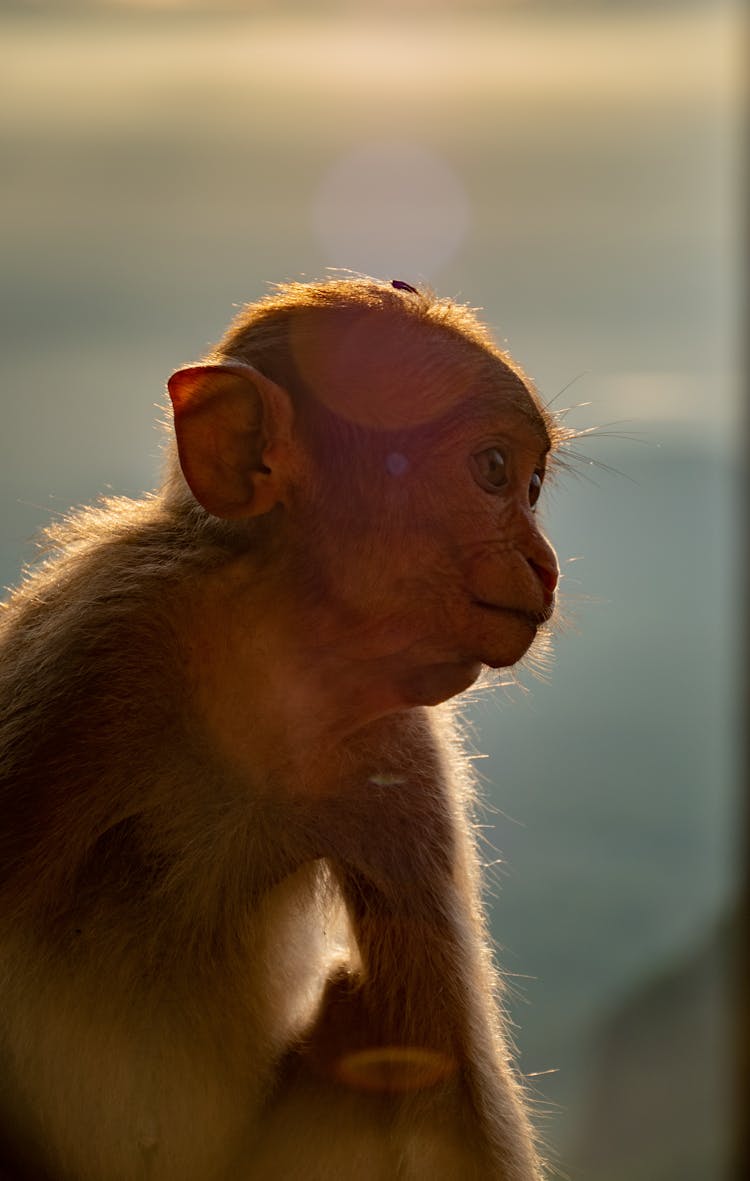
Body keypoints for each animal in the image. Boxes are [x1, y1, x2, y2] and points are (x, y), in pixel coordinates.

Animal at [0, 278, 562, 1181]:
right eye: (494, 469)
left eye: (535, 483)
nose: (546, 565)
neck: (264, 673)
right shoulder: (91, 651)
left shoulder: (399, 761)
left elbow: (453, 1103)